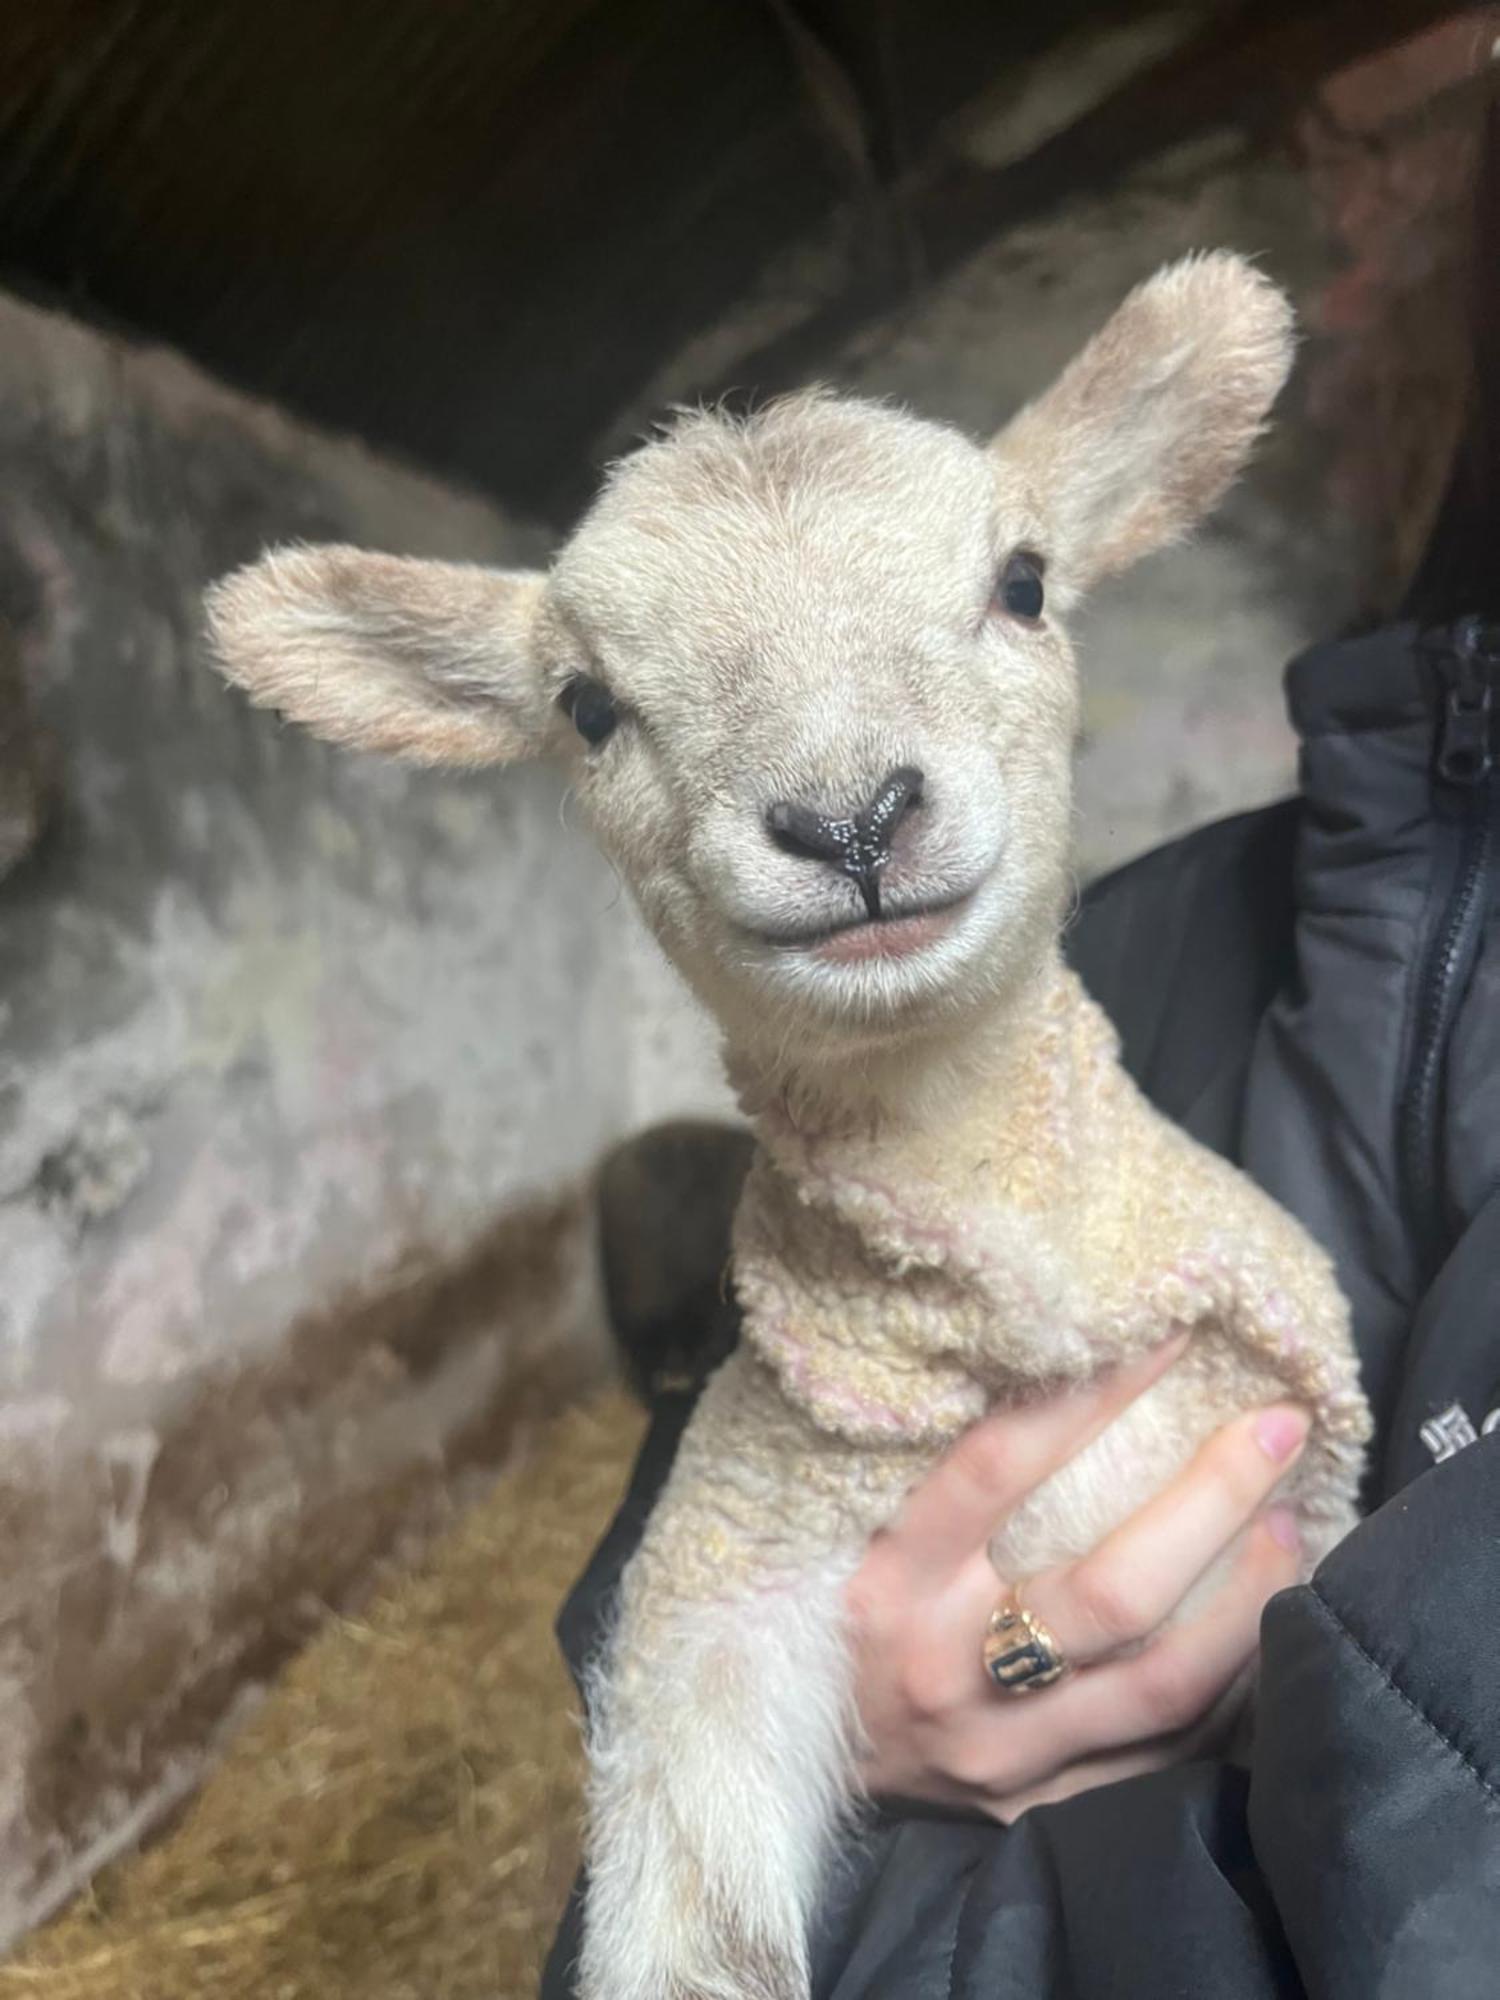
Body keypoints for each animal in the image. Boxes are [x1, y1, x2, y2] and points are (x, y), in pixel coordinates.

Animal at [206, 254, 1384, 2000]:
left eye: (1024, 582)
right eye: (587, 706)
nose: (848, 821)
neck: (1011, 1319)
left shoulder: (1289, 1499)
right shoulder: (726, 1563)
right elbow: (690, 1897)